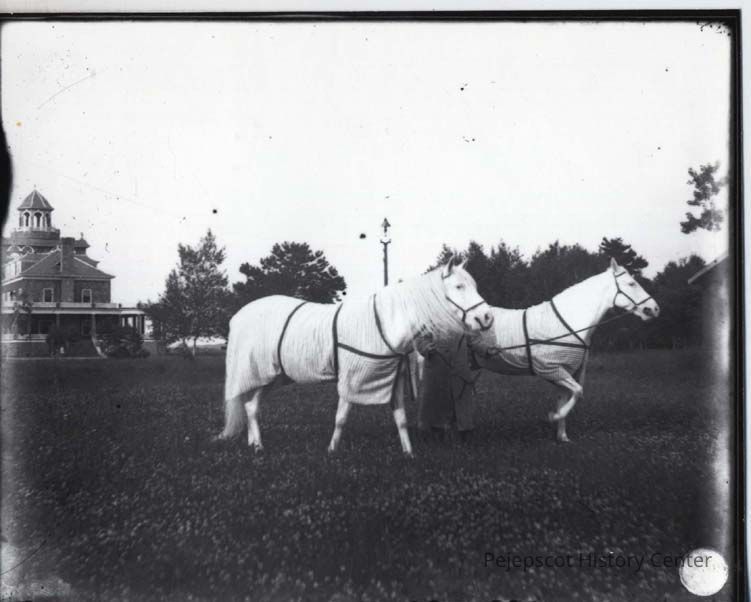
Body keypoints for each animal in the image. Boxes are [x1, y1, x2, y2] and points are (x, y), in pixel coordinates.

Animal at [216, 257, 494, 456]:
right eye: (459, 286)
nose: (486, 318)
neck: (384, 323)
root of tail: (239, 315)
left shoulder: (392, 381)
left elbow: (401, 419)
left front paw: (408, 453)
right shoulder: (352, 379)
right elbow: (341, 418)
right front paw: (331, 451)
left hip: (273, 376)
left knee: (250, 405)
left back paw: (255, 445)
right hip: (260, 372)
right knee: (251, 406)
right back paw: (258, 446)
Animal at [414, 258, 660, 442]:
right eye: (631, 283)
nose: (654, 308)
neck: (567, 323)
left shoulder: (564, 372)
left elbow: (568, 396)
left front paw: (562, 436)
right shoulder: (550, 368)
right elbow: (578, 393)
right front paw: (553, 417)